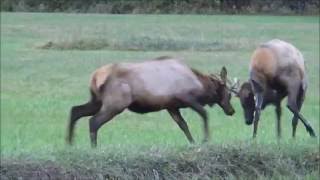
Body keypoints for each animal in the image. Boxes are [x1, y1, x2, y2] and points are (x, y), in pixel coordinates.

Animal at [66, 57, 236, 147]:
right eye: (228, 94)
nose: (232, 110)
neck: (200, 85)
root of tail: (95, 77)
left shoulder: (171, 106)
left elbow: (183, 125)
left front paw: (192, 142)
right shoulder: (186, 98)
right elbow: (204, 114)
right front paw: (205, 139)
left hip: (97, 101)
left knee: (75, 110)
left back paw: (69, 142)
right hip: (116, 103)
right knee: (93, 121)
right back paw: (93, 147)